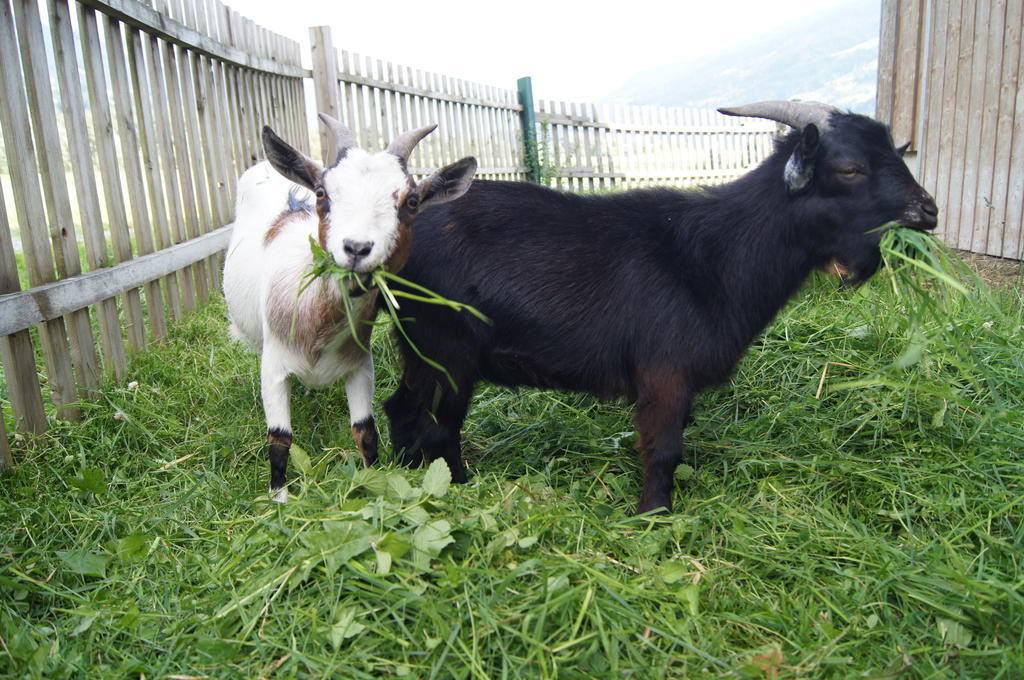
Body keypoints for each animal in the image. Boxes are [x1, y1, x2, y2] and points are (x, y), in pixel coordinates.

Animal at [223, 114, 475, 501]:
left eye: (412, 201)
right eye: (322, 193)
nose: (357, 248)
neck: (318, 322)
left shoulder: (359, 365)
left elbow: (365, 431)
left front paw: (371, 482)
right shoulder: (274, 367)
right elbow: (279, 439)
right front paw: (278, 499)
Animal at [382, 102, 937, 510]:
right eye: (850, 168)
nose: (927, 211)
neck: (718, 252)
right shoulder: (664, 374)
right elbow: (664, 449)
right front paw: (654, 516)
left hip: (420, 348)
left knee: (402, 409)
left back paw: (395, 475)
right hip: (447, 351)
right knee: (441, 426)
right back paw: (459, 486)